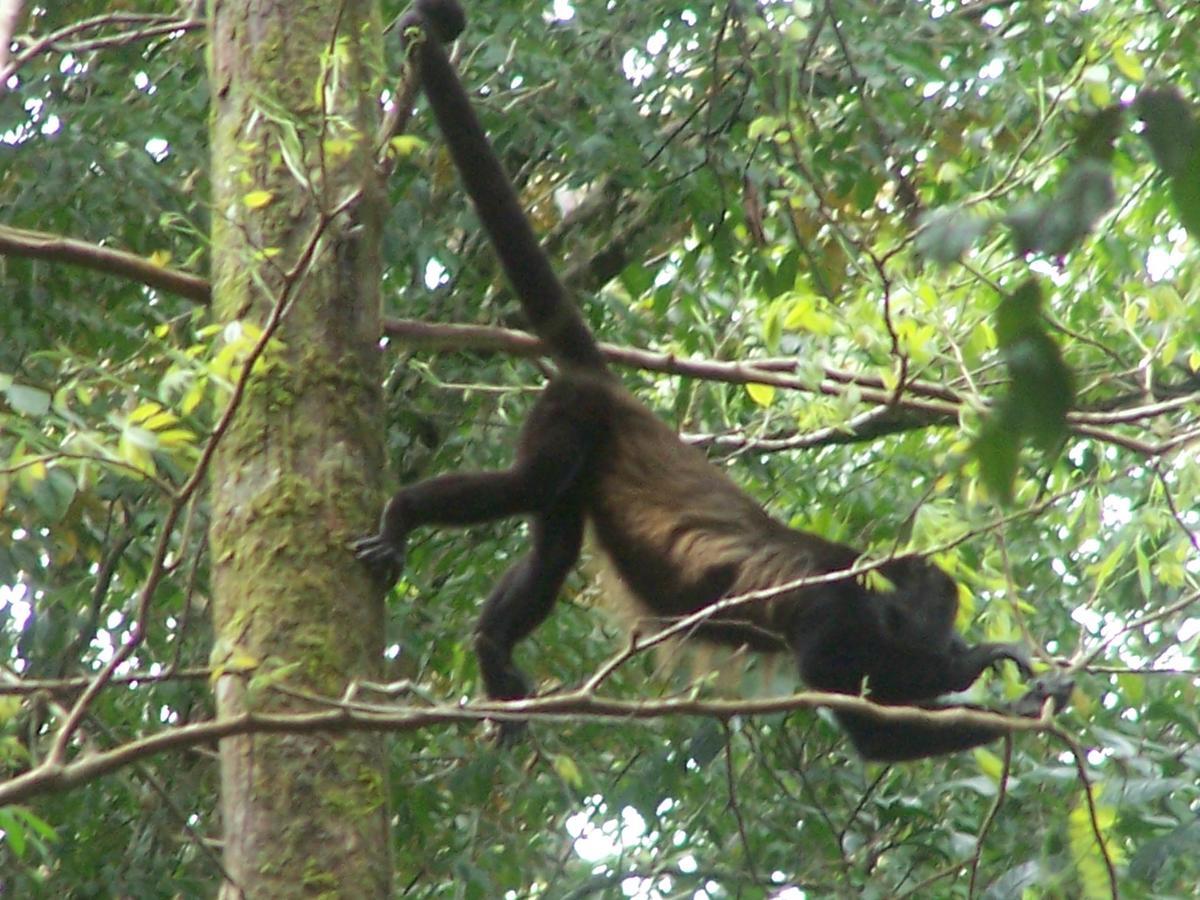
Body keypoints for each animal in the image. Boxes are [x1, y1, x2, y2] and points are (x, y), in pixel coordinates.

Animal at [352, 0, 1070, 763]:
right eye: (940, 615)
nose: (954, 637)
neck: (869, 587)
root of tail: (613, 390)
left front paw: (1022, 688)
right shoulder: (831, 610)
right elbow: (869, 725)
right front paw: (991, 673)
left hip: (581, 446)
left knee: (553, 544)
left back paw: (493, 650)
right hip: (571, 413)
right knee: (529, 485)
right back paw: (402, 516)